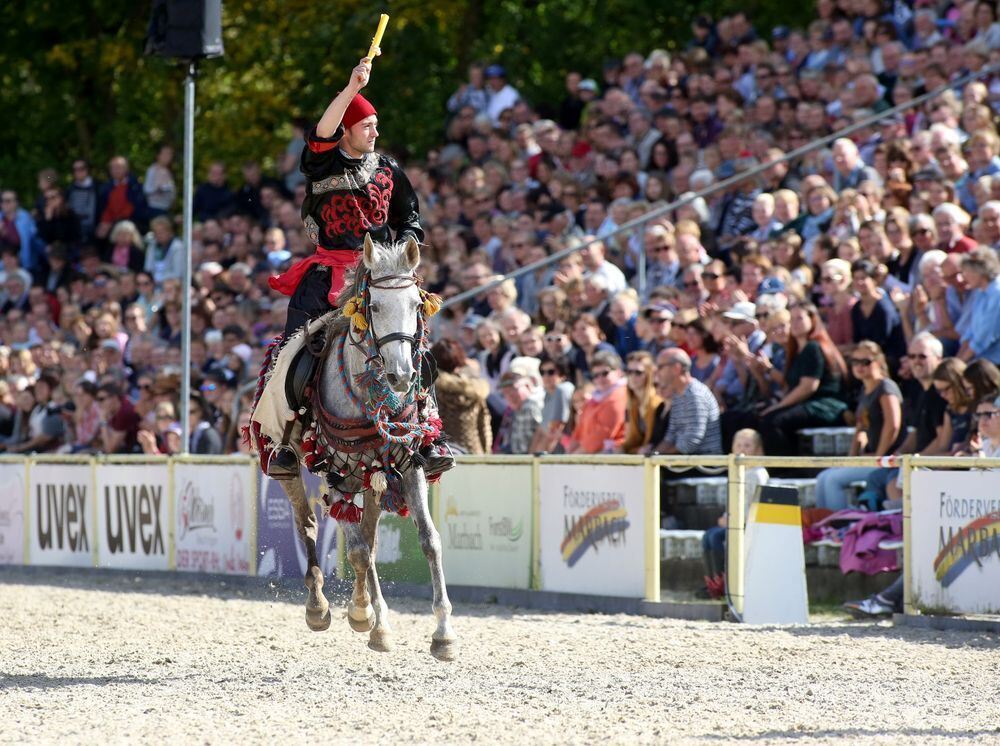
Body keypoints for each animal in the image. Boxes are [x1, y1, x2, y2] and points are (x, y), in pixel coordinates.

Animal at [276, 235, 458, 660]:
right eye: (374, 306)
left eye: (416, 305)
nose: (401, 375)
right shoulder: (335, 473)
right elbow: (356, 552)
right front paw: (369, 620)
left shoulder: (410, 464)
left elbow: (429, 541)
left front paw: (442, 633)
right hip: (298, 465)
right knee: (308, 522)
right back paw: (320, 607)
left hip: (373, 473)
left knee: (370, 538)